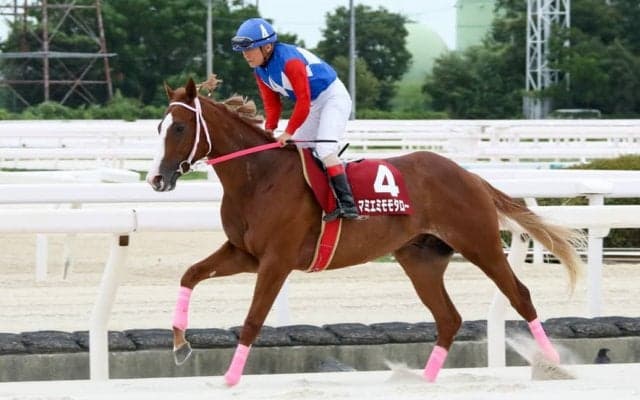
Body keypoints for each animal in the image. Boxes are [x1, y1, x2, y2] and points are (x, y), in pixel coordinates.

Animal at [146, 77, 584, 386]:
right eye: (159, 127)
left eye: (180, 128)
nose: (156, 179)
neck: (260, 177)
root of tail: (470, 175)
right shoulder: (245, 254)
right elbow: (190, 275)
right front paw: (181, 346)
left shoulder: (276, 261)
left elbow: (253, 319)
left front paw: (230, 377)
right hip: (421, 259)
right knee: (448, 318)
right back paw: (422, 380)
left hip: (480, 244)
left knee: (519, 295)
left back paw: (552, 364)